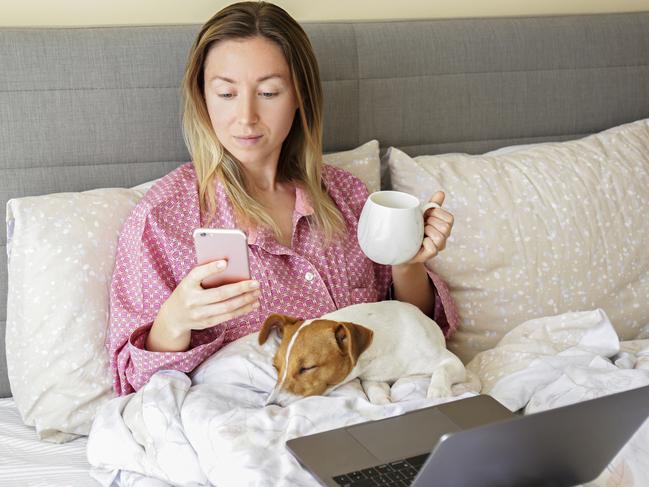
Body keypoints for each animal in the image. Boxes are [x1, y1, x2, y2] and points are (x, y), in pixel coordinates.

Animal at [258, 302, 466, 408]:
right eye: (276, 367)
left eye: (307, 368)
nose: (271, 405)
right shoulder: (373, 378)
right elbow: (375, 392)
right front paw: (383, 402)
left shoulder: (453, 362)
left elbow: (441, 371)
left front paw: (438, 393)